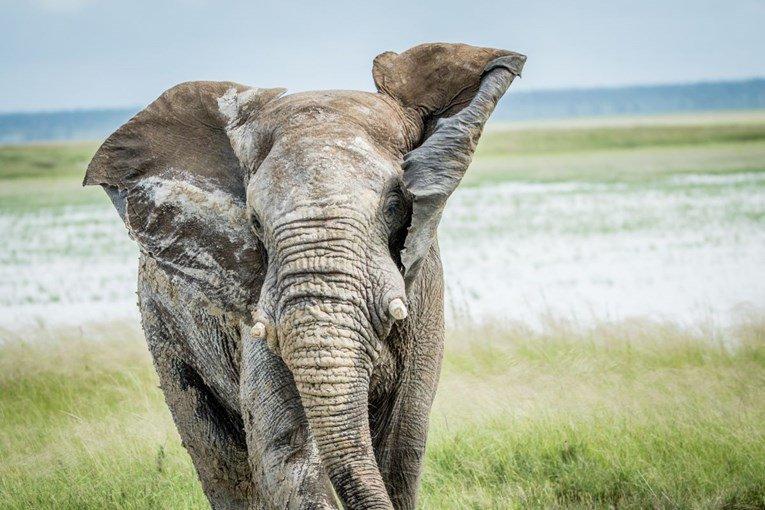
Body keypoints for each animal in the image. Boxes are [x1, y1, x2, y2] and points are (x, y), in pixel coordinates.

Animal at [83, 41, 524, 508]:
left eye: (394, 204)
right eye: (255, 222)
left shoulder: (423, 295)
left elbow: (401, 449)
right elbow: (287, 453)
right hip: (162, 323)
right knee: (217, 456)